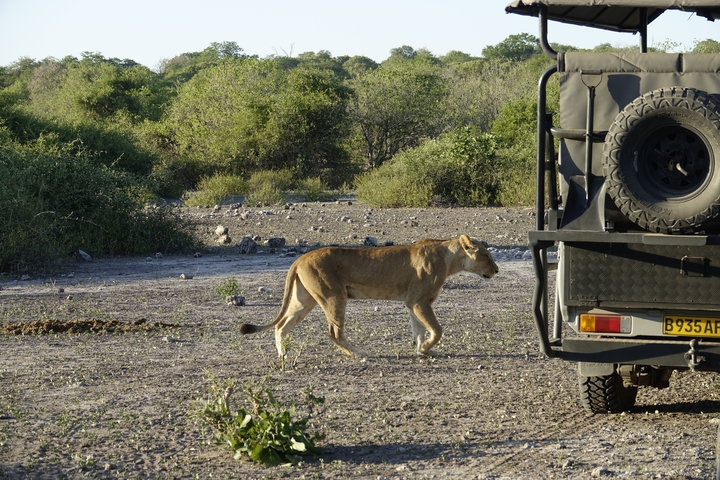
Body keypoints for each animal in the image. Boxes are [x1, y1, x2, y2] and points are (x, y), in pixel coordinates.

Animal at [239, 234, 498, 357]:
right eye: (486, 255)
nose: (497, 270)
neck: (449, 258)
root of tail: (300, 258)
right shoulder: (419, 301)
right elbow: (436, 330)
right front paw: (426, 348)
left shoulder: (412, 303)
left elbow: (419, 330)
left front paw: (423, 350)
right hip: (334, 296)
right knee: (334, 332)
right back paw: (358, 354)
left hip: (304, 300)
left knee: (281, 325)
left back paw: (283, 354)